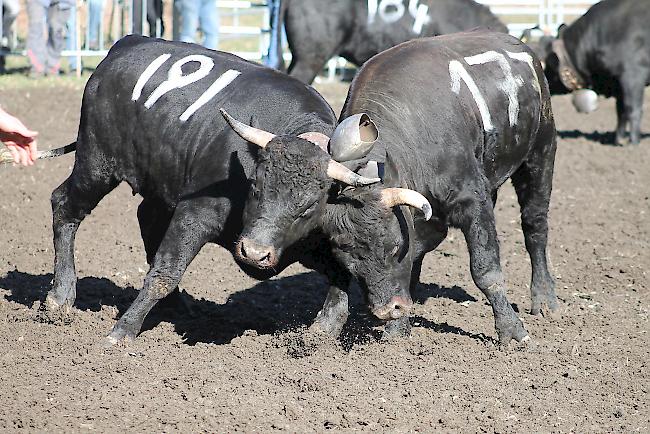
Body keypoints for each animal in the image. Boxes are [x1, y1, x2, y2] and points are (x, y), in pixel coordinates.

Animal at [44, 34, 374, 342]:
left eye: (309, 207)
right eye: (256, 186)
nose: (255, 253)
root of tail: (128, 43)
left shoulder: (306, 242)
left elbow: (340, 271)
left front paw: (326, 327)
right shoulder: (194, 215)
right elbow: (166, 272)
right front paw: (123, 330)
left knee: (146, 218)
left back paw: (176, 305)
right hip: (96, 162)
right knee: (65, 207)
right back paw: (61, 296)